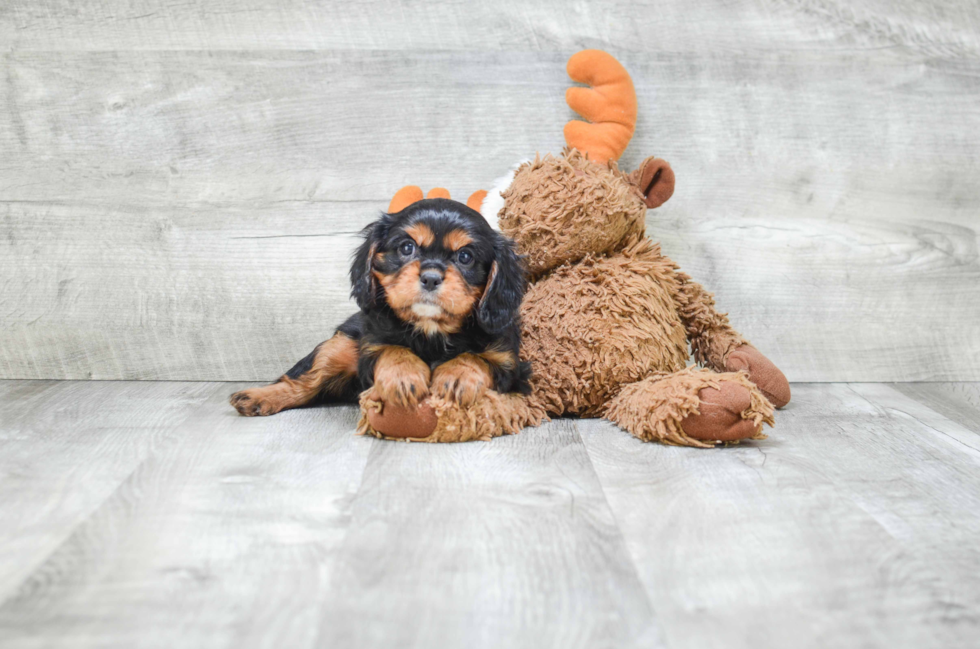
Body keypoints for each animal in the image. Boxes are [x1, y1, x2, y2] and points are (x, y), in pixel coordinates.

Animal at [231, 197, 532, 418]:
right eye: (407, 248)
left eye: (465, 257)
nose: (430, 277)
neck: (431, 330)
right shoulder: (370, 345)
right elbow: (392, 349)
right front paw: (403, 376)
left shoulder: (508, 362)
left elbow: (477, 358)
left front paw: (456, 376)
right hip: (340, 345)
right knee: (305, 381)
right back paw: (257, 397)